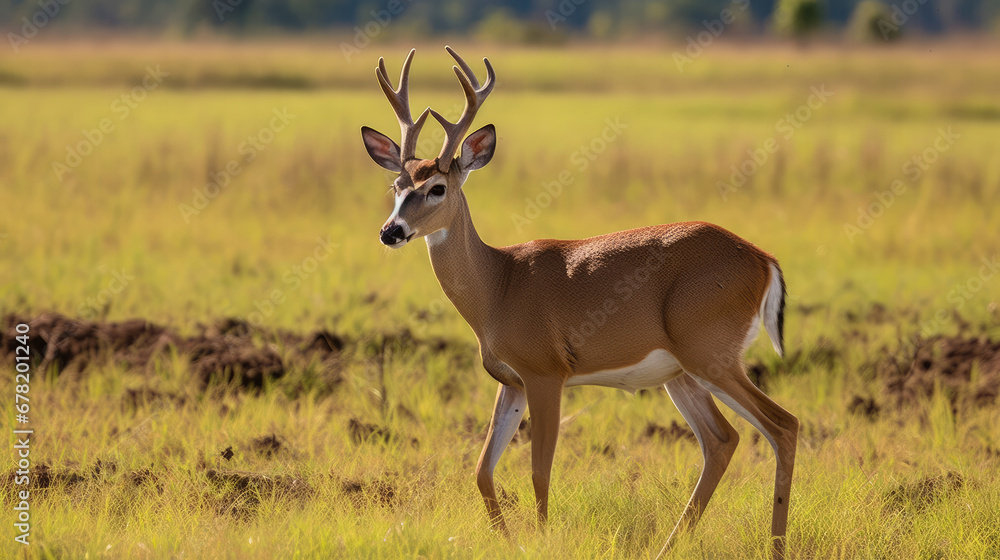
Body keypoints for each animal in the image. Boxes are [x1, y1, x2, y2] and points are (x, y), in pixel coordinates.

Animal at [360, 49, 796, 560]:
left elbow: (538, 470)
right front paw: (509, 541)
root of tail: (763, 259)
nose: (391, 231)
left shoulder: (546, 373)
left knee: (782, 426)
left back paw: (776, 546)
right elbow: (483, 470)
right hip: (682, 373)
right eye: (396, 186)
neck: (499, 285)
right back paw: (670, 546)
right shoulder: (511, 381)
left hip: (712, 354)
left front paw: (541, 540)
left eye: (437, 188)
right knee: (723, 440)